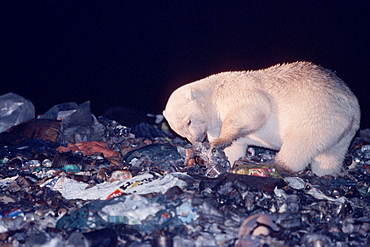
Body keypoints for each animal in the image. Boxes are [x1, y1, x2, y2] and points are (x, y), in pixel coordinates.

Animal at [163, 62, 360, 177]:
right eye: (180, 132)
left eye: (188, 121)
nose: (196, 140)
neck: (213, 91)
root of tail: (352, 109)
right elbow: (235, 146)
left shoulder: (233, 93)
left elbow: (256, 107)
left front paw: (216, 145)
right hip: (339, 131)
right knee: (329, 155)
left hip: (316, 115)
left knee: (300, 143)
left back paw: (267, 164)